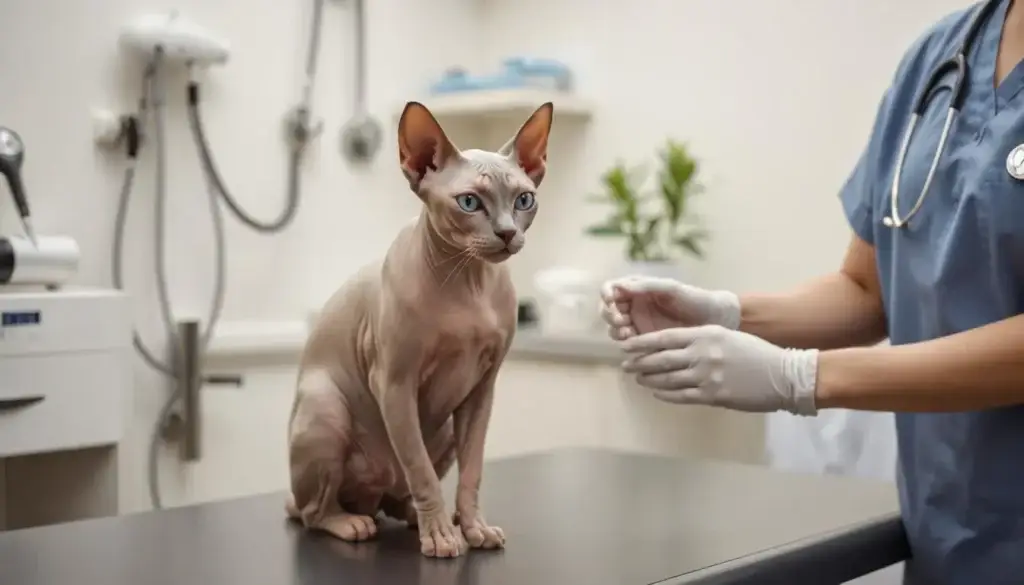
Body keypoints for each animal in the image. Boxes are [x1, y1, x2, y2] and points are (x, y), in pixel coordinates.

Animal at [284, 100, 552, 557]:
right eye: (469, 202)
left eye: (524, 199)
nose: (507, 233)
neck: (469, 281)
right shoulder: (395, 383)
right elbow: (421, 470)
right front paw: (442, 537)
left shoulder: (481, 391)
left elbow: (472, 472)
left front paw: (474, 526)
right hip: (326, 409)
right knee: (313, 511)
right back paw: (356, 522)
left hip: (442, 428)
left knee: (397, 496)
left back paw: (420, 516)